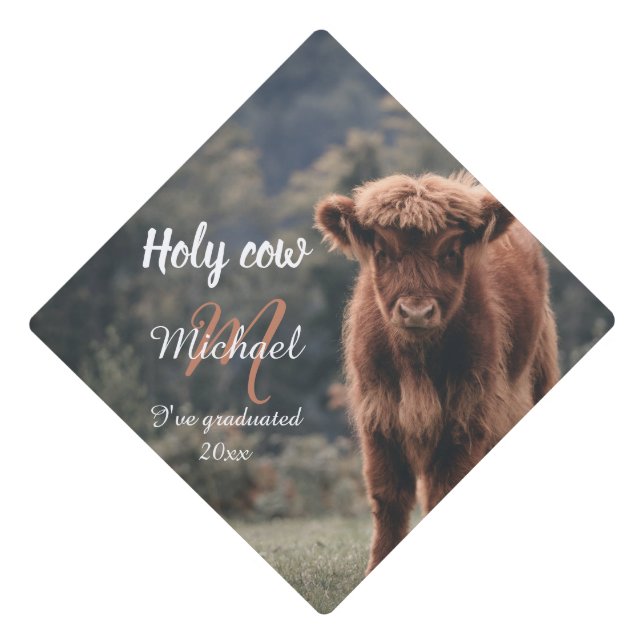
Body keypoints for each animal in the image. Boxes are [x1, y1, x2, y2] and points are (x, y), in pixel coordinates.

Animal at [314, 171, 559, 573]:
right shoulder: (378, 414)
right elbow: (389, 496)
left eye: (450, 252)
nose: (416, 311)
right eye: (383, 253)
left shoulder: (467, 412)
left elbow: (445, 489)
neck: (417, 364)